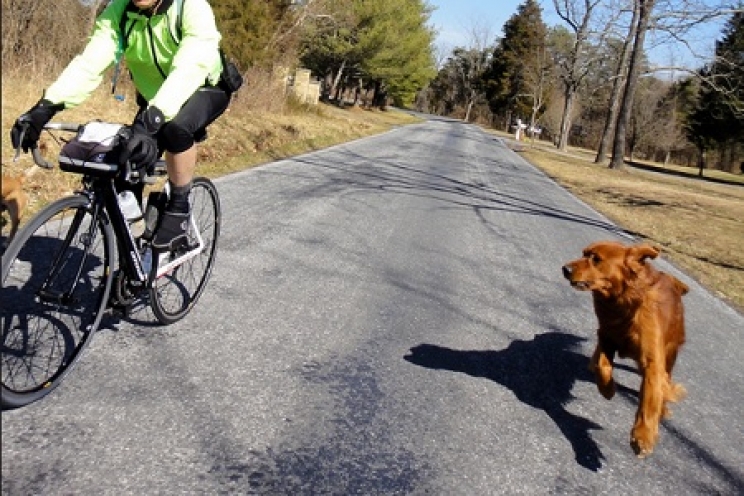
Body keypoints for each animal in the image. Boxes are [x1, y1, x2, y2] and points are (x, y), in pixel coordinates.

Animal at [564, 240, 692, 458]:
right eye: (583, 254)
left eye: (596, 259)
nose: (565, 269)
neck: (623, 304)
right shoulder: (606, 338)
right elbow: (603, 366)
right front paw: (607, 389)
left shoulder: (652, 362)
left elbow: (650, 397)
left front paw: (643, 436)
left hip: (670, 352)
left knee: (666, 379)